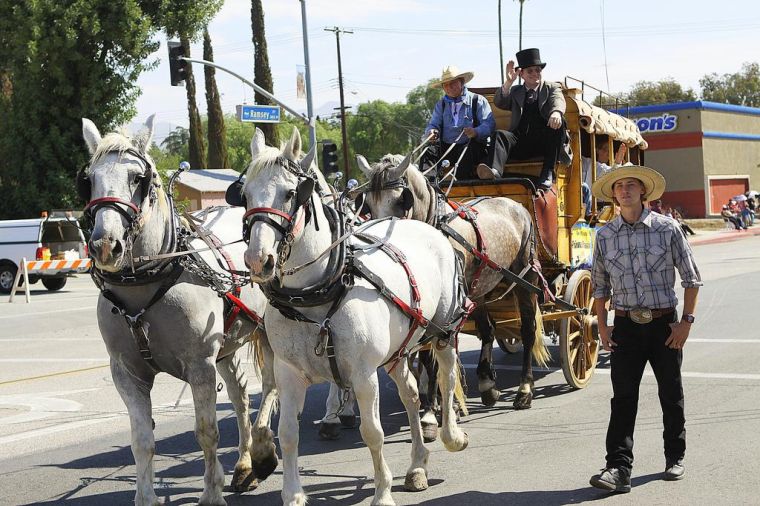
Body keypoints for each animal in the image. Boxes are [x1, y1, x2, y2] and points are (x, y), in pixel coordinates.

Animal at [79, 116, 280, 504]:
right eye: (90, 179)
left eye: (137, 178)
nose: (105, 245)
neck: (145, 285)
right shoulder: (126, 373)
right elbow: (142, 440)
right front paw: (145, 496)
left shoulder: (200, 365)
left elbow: (206, 431)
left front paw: (211, 492)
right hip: (226, 346)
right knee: (240, 396)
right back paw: (245, 462)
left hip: (271, 331)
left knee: (272, 384)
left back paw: (263, 450)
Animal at [240, 128, 472, 504]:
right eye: (244, 194)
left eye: (290, 193)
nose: (258, 260)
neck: (316, 296)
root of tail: (419, 225)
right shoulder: (288, 373)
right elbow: (288, 433)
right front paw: (293, 493)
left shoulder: (364, 375)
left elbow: (372, 432)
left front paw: (382, 492)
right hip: (397, 350)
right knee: (410, 395)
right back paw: (417, 465)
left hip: (442, 330)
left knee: (446, 377)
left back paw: (451, 434)